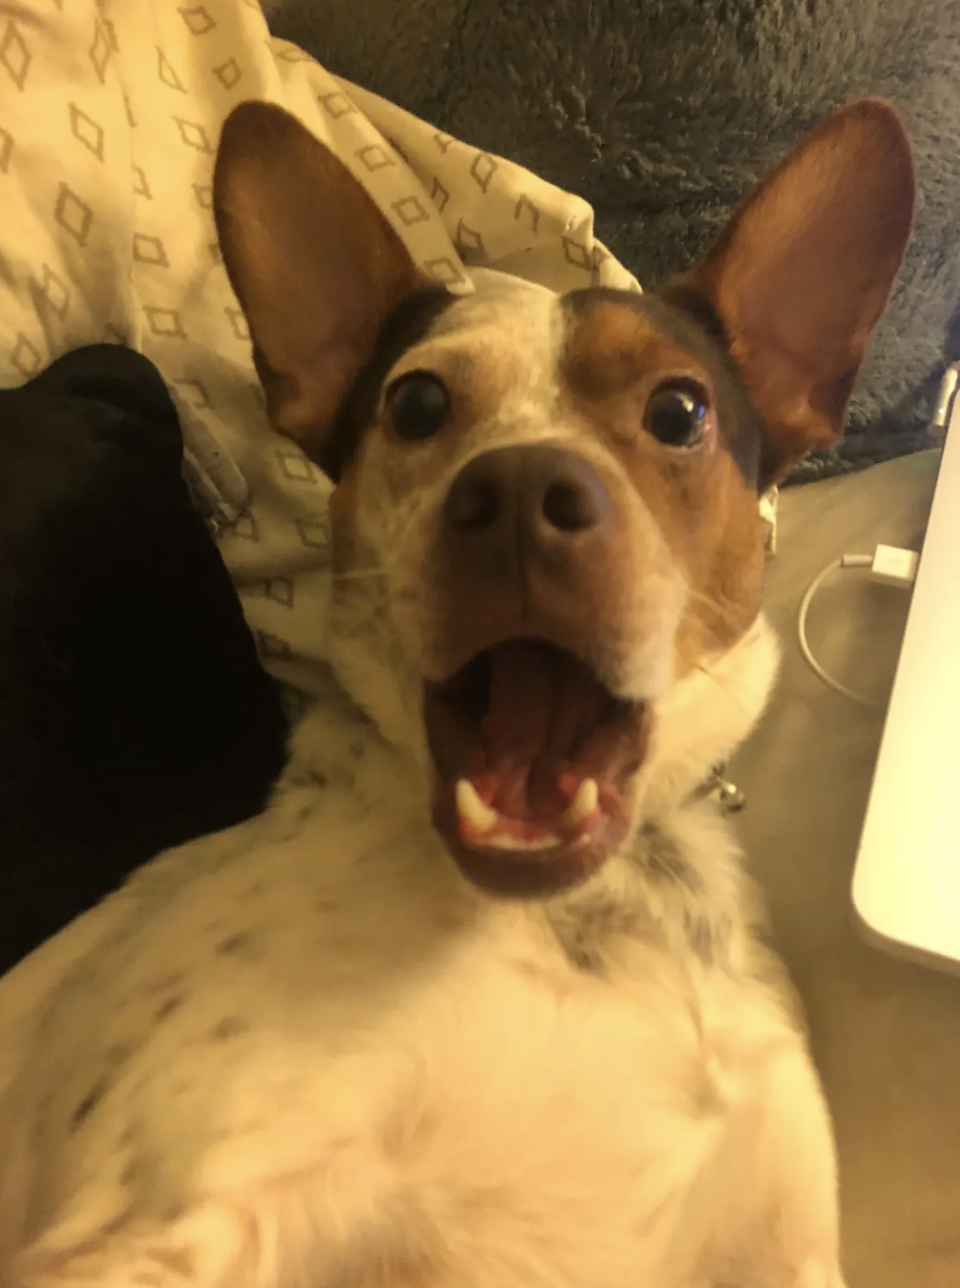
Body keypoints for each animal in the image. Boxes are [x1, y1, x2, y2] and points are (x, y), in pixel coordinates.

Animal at [0, 97, 912, 1288]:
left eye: (679, 411)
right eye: (418, 402)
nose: (521, 491)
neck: (581, 913)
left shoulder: (786, 1249)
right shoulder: (145, 1229)